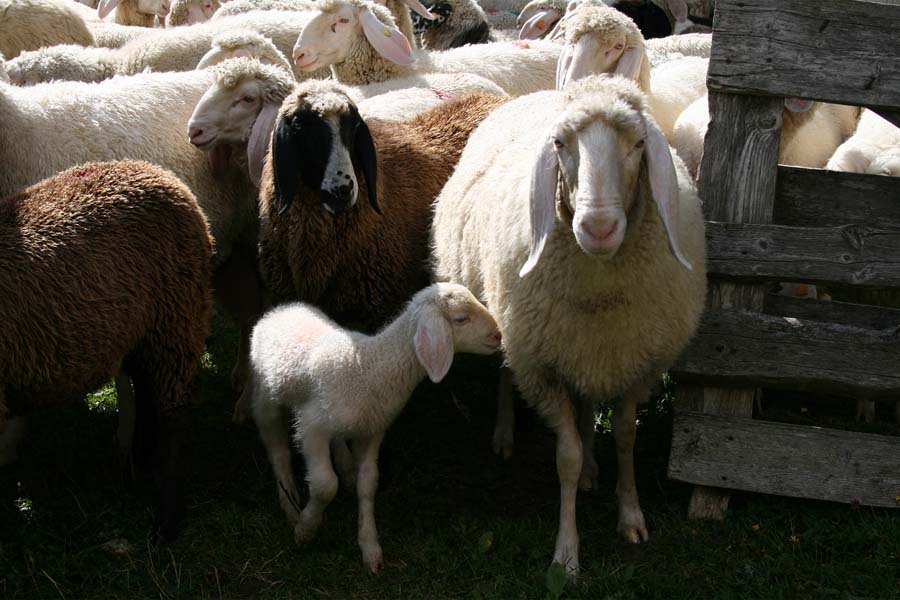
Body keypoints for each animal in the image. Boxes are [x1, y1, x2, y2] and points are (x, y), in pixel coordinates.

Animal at [0, 160, 213, 542]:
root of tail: (162, 175)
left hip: (176, 317)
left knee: (174, 415)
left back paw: (166, 520)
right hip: (140, 332)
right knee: (146, 393)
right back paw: (137, 464)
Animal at [245, 282, 502, 571]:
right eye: (460, 318)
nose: (498, 336)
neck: (369, 367)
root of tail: (281, 308)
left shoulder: (371, 431)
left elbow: (368, 485)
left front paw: (370, 546)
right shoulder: (312, 427)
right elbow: (325, 484)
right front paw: (306, 528)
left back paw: (345, 466)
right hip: (266, 397)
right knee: (278, 451)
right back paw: (289, 504)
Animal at [430, 74, 707, 574]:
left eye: (639, 143)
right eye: (559, 144)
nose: (598, 227)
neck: (600, 285)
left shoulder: (637, 363)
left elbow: (625, 436)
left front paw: (630, 514)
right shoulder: (542, 369)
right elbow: (567, 456)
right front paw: (566, 552)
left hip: (580, 347)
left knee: (587, 402)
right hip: (511, 325)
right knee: (507, 372)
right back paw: (505, 434)